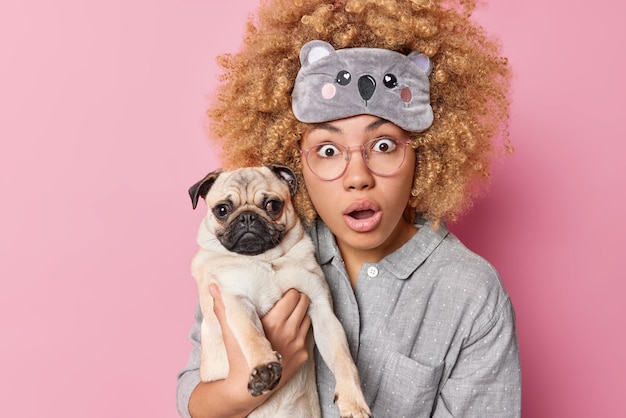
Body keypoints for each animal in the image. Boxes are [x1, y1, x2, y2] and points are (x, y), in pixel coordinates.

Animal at [188, 163, 368, 418]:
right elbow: (253, 336)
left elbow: (344, 359)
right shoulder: (236, 301)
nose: (247, 217)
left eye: (272, 205)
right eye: (222, 210)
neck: (266, 259)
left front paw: (354, 402)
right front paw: (264, 367)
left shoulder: (323, 311)